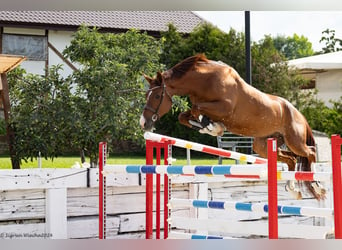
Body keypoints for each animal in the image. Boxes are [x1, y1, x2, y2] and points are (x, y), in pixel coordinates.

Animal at [140, 53, 326, 200]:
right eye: (147, 95)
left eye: (156, 96)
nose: (144, 122)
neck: (204, 81)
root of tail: (298, 113)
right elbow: (184, 116)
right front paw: (209, 126)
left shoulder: (224, 107)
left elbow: (196, 108)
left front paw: (214, 127)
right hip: (263, 145)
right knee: (291, 159)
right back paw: (293, 189)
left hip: (294, 141)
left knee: (310, 152)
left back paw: (318, 186)